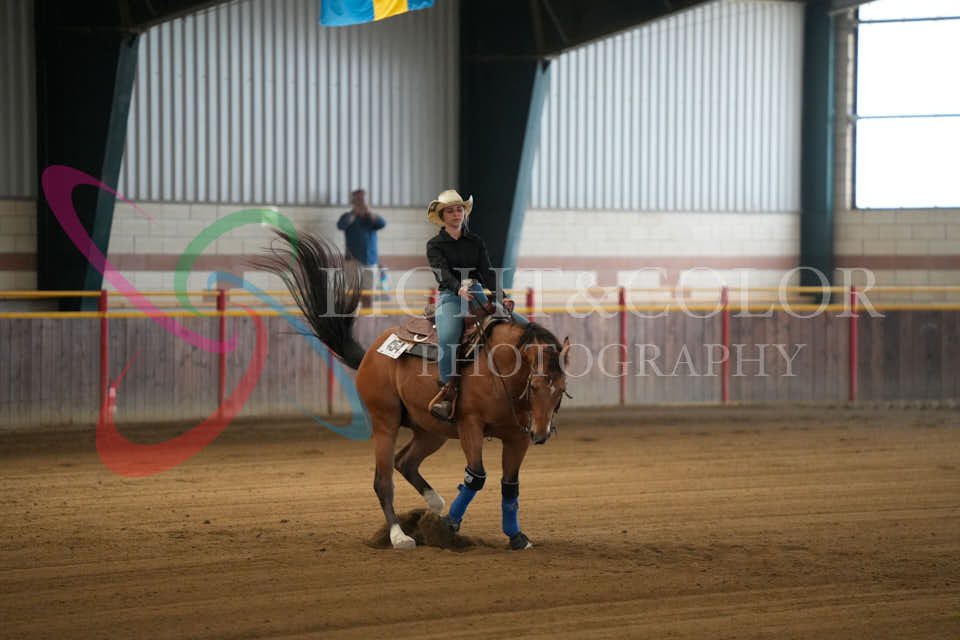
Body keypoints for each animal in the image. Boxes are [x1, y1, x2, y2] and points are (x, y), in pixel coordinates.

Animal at [256, 230, 570, 550]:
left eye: (561, 389)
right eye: (534, 385)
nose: (541, 435)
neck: (499, 365)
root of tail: (371, 352)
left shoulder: (517, 436)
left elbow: (510, 486)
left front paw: (516, 536)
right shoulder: (470, 425)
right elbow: (475, 477)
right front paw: (448, 528)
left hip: (430, 430)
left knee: (404, 462)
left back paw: (434, 504)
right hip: (386, 421)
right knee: (383, 480)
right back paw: (400, 535)